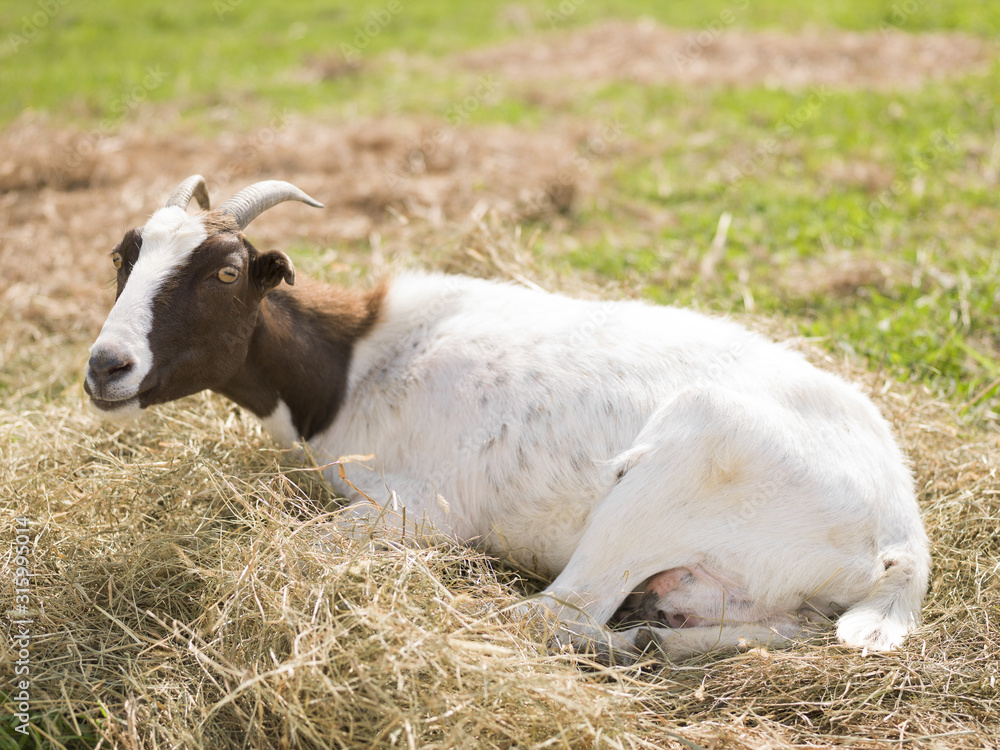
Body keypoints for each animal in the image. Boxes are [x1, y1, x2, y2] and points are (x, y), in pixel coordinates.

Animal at [85, 175, 929, 663]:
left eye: (227, 273)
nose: (105, 366)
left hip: (681, 457)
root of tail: (903, 540)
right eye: (124, 259)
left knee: (558, 616)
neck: (356, 364)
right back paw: (655, 636)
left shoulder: (416, 509)